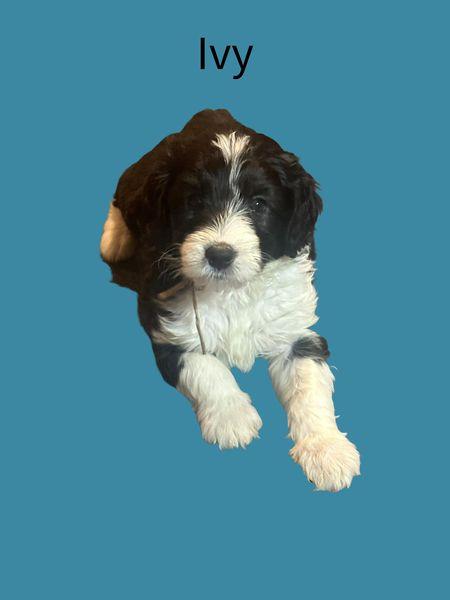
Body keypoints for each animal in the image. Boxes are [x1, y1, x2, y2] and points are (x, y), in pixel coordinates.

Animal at [100, 109, 360, 491]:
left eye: (259, 204)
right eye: (194, 201)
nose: (219, 255)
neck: (233, 289)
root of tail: (212, 112)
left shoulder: (296, 331)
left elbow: (309, 385)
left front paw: (326, 450)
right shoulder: (166, 322)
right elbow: (204, 367)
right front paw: (232, 417)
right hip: (140, 174)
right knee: (124, 198)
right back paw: (114, 239)